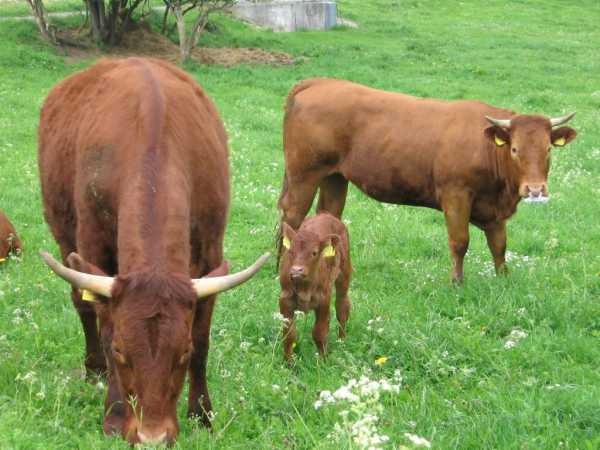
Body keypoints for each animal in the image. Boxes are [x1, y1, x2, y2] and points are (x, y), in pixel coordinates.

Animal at [38, 57, 268, 446]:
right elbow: (104, 325)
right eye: (121, 351)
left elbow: (203, 338)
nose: (152, 437)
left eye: (182, 353)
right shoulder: (93, 248)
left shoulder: (210, 254)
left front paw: (201, 414)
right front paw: (115, 415)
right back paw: (93, 369)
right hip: (64, 234)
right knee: (81, 303)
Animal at [278, 77, 580, 282]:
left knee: (328, 215)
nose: (535, 189)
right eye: (515, 149)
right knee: (291, 216)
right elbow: (460, 241)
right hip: (303, 174)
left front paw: (503, 278)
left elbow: (499, 244)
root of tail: (320, 82)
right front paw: (456, 282)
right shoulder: (455, 195)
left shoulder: (494, 209)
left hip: (335, 176)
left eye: (548, 149)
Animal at [278, 213, 350, 364]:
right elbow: (289, 334)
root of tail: (326, 215)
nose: (296, 270)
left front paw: (323, 361)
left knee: (342, 306)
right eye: (291, 251)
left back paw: (341, 341)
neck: (305, 287)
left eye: (314, 253)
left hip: (344, 273)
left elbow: (319, 332)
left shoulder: (324, 300)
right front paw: (288, 363)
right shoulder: (285, 300)